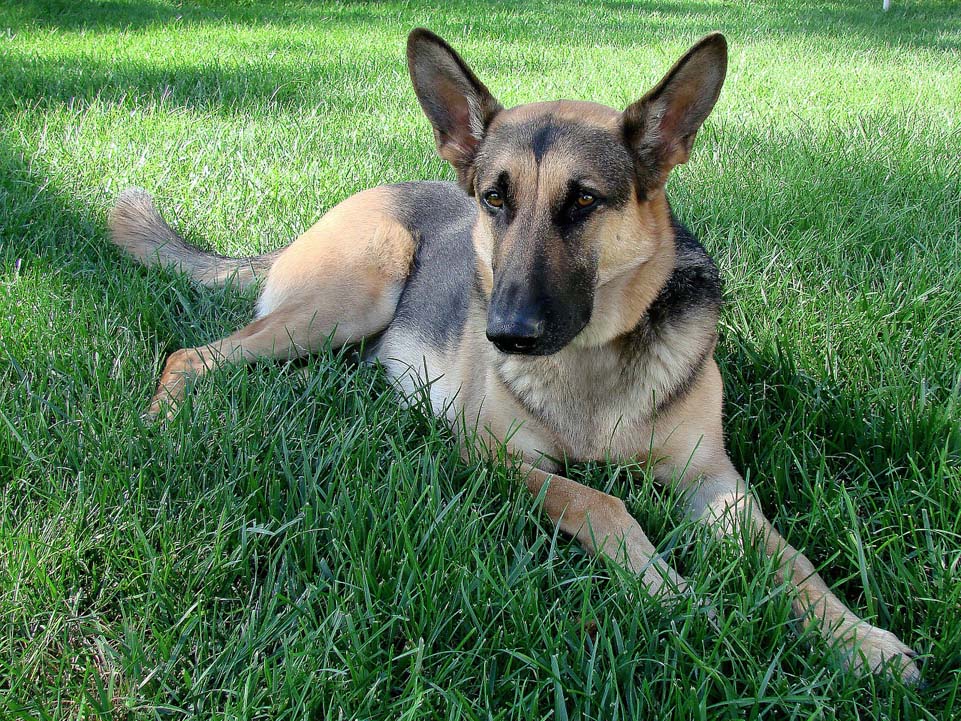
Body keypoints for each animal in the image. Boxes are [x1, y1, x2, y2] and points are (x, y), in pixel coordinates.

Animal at [107, 29, 920, 683]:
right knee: (190, 355)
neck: (591, 362)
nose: (506, 333)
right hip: (349, 297)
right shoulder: (493, 455)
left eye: (584, 201)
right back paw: (161, 424)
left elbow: (791, 559)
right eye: (495, 200)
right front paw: (680, 598)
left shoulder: (715, 480)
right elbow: (601, 500)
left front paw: (861, 640)